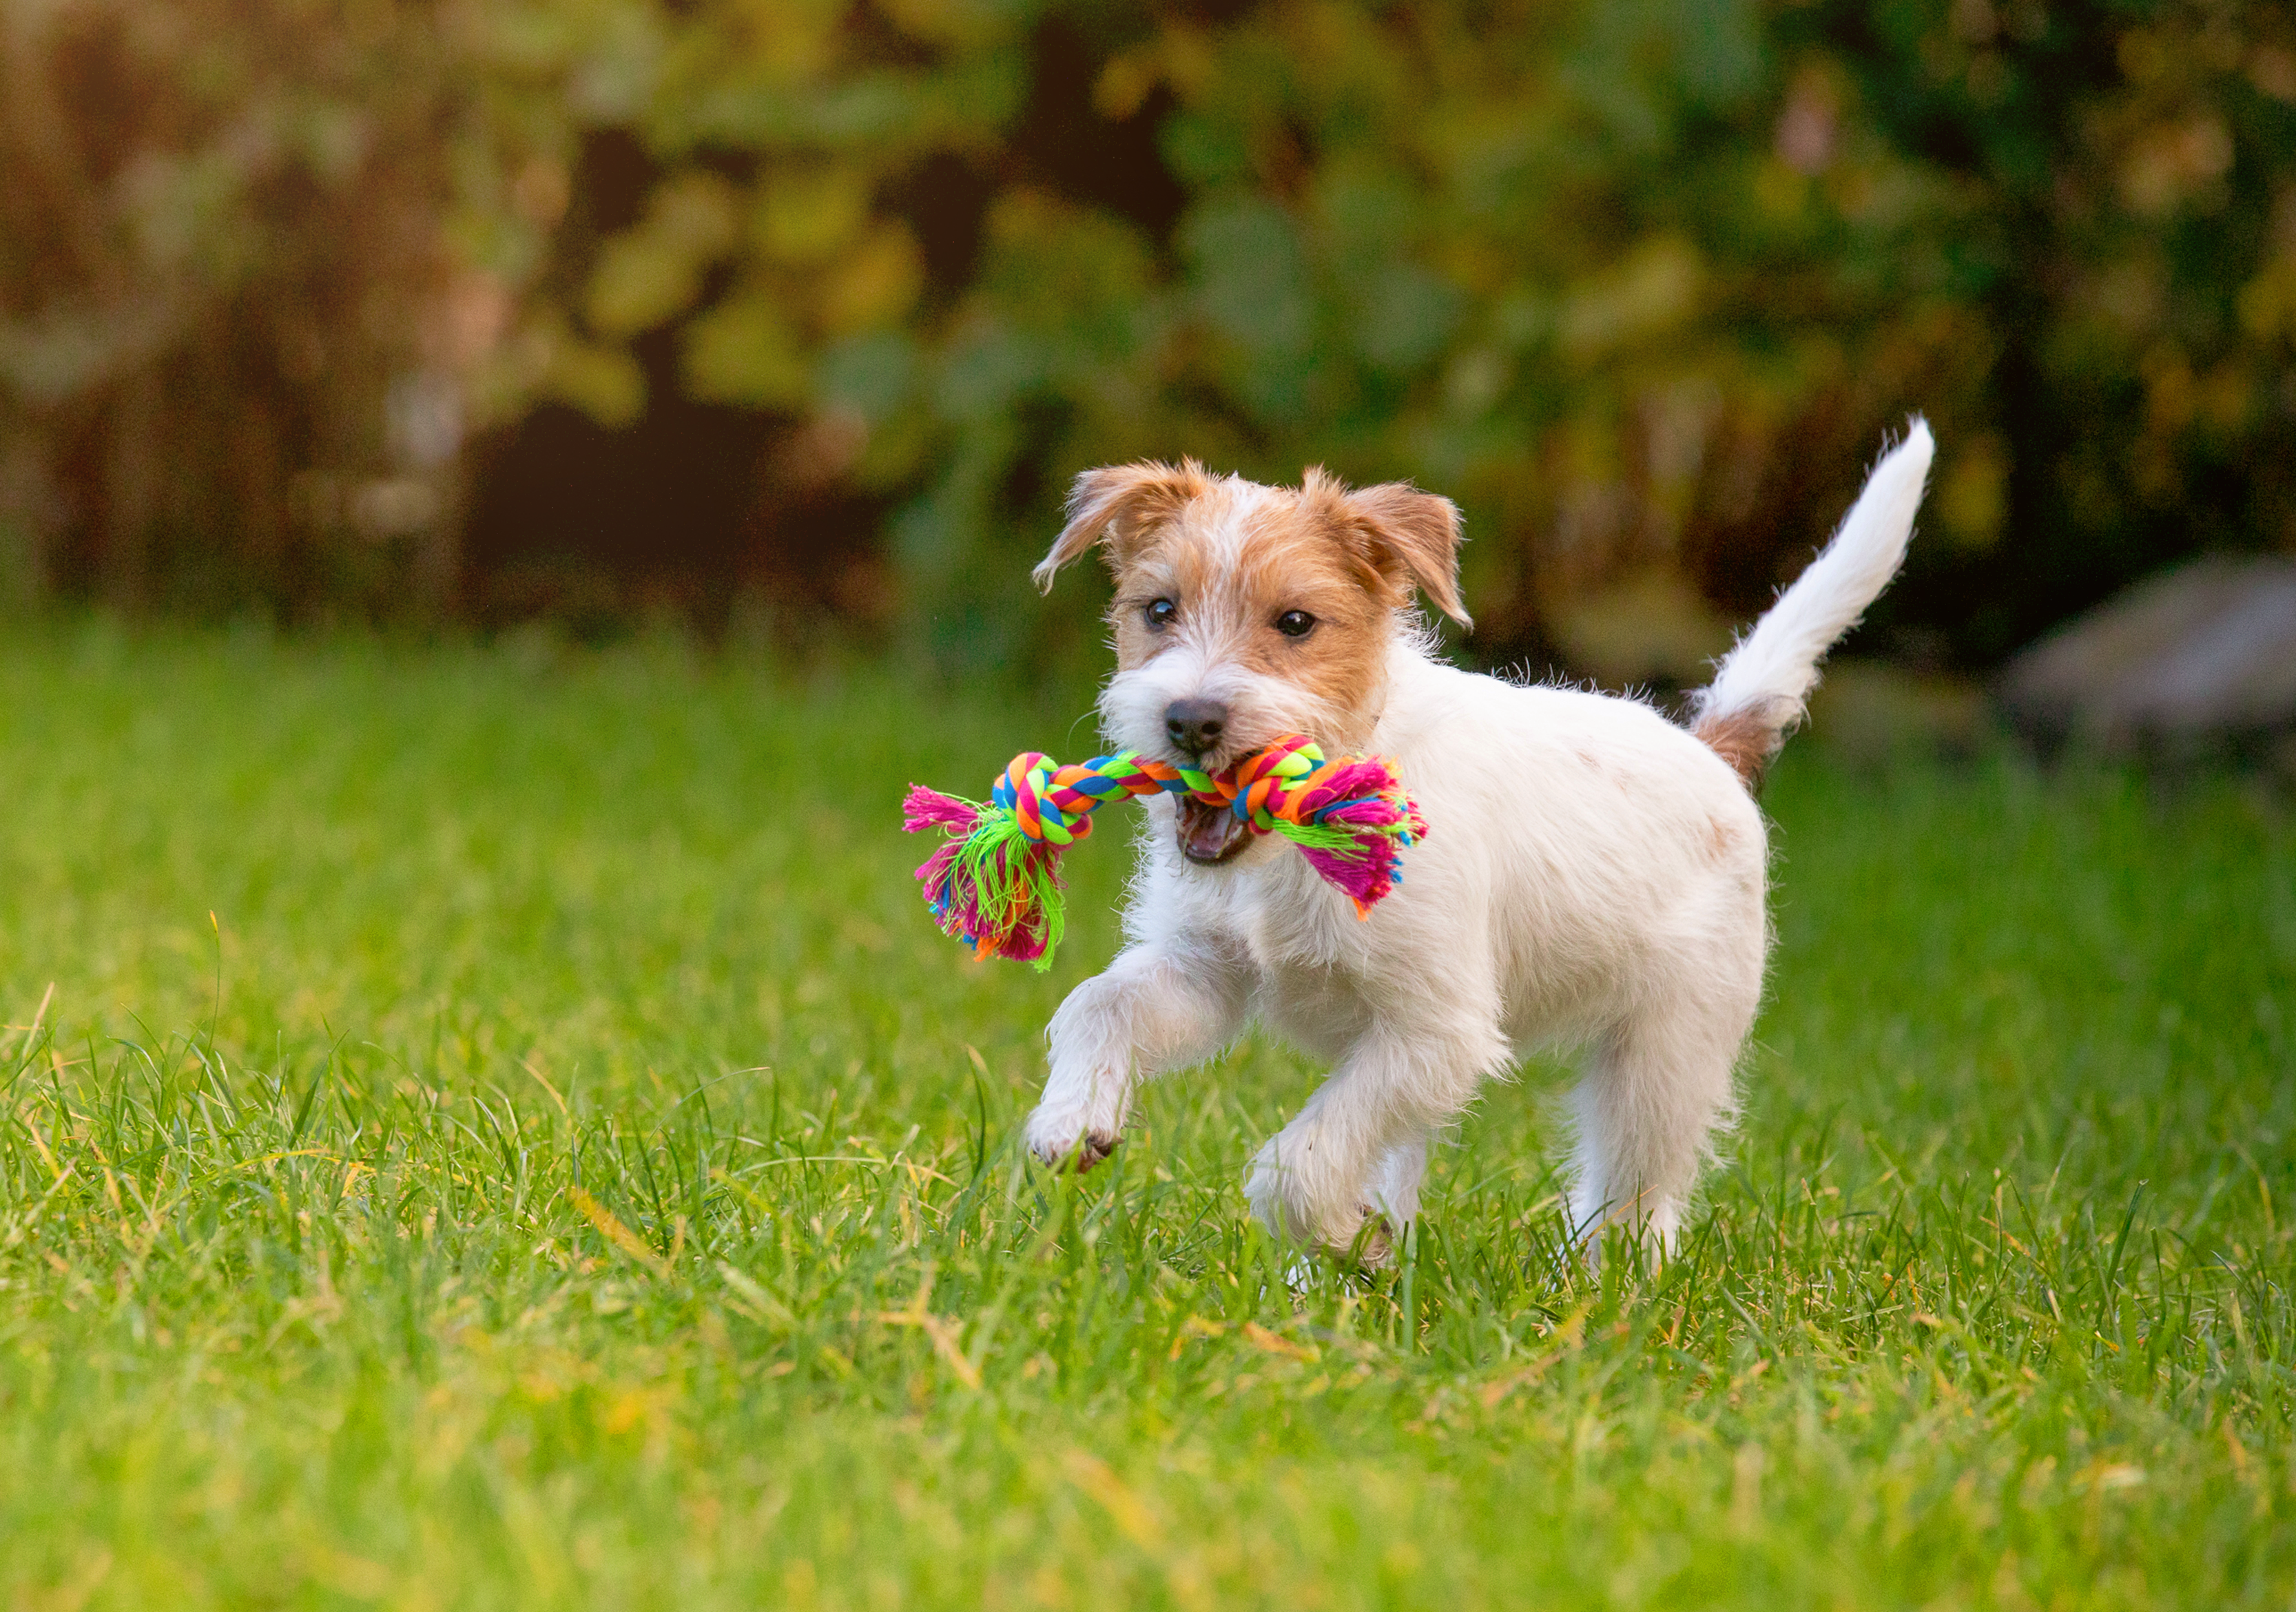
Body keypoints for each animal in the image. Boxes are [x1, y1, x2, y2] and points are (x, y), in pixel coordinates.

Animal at [1024, 427, 1938, 1268]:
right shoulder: (1206, 970)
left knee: (1637, 1194)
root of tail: (1710, 750)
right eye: (1159, 611)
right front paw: (1073, 1118)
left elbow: (1298, 1165)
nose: (1190, 720)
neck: (1303, 837)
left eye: (1296, 623)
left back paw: (1606, 1289)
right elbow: (1097, 1003)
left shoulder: (1437, 1033)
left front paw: (1339, 1234)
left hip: (1664, 1057)